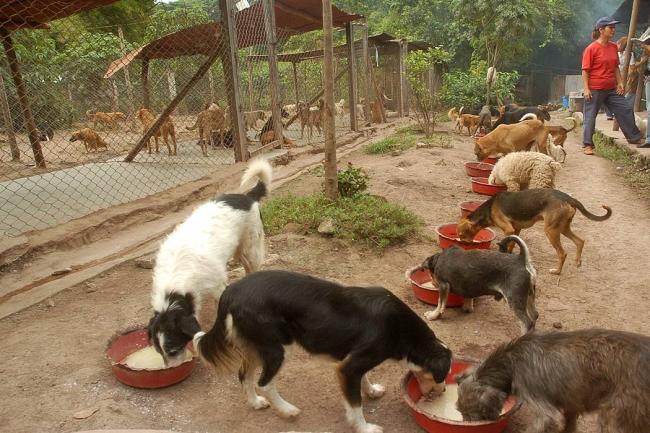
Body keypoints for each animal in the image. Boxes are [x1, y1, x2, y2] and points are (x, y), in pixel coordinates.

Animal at [148, 157, 272, 366]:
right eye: (159, 352)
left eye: (173, 350)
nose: (170, 369)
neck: (177, 275)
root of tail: (247, 196)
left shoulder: (218, 287)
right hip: (239, 252)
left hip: (251, 250)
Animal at [190, 270, 448, 432]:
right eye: (442, 376)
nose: (444, 391)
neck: (402, 330)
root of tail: (231, 290)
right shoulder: (349, 367)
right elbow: (355, 405)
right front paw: (365, 427)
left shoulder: (354, 360)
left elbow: (364, 379)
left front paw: (372, 391)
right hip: (275, 348)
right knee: (264, 383)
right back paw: (287, 410)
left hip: (254, 345)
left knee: (244, 375)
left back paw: (255, 403)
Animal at [454, 189, 612, 274]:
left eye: (461, 235)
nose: (461, 244)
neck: (489, 208)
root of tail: (569, 198)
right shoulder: (516, 229)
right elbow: (512, 244)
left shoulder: (508, 229)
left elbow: (507, 244)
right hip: (563, 228)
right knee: (580, 241)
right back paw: (578, 261)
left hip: (551, 231)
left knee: (562, 253)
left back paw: (557, 271)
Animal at [454, 330, 648, 430]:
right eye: (459, 412)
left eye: (472, 417)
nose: (465, 424)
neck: (511, 361)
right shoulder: (571, 407)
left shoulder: (545, 411)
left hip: (614, 417)